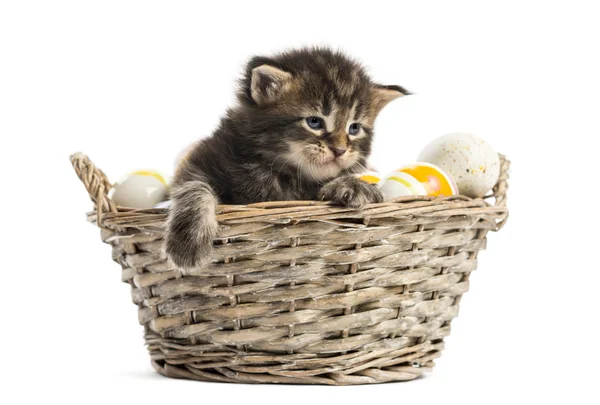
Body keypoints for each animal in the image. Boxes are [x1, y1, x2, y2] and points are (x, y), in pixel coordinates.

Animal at [164, 47, 408, 268]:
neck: (280, 171)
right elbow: (194, 189)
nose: (339, 150)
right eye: (314, 122)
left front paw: (355, 186)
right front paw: (188, 242)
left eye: (354, 128)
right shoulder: (200, 161)